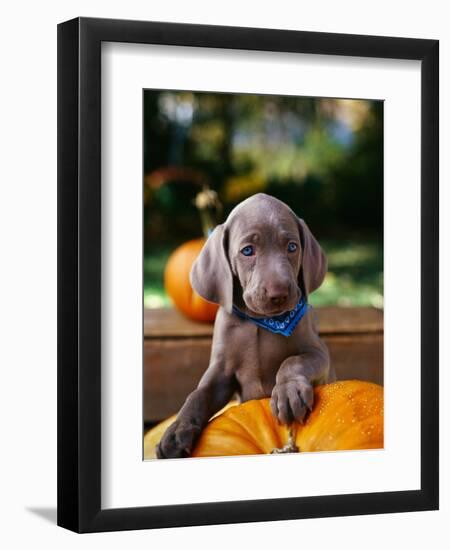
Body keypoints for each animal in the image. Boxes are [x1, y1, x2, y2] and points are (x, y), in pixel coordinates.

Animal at [156, 192, 336, 460]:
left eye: (292, 247)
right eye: (247, 251)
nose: (279, 294)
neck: (262, 323)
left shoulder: (319, 355)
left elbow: (293, 361)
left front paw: (288, 393)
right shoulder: (221, 372)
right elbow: (198, 395)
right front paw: (176, 431)